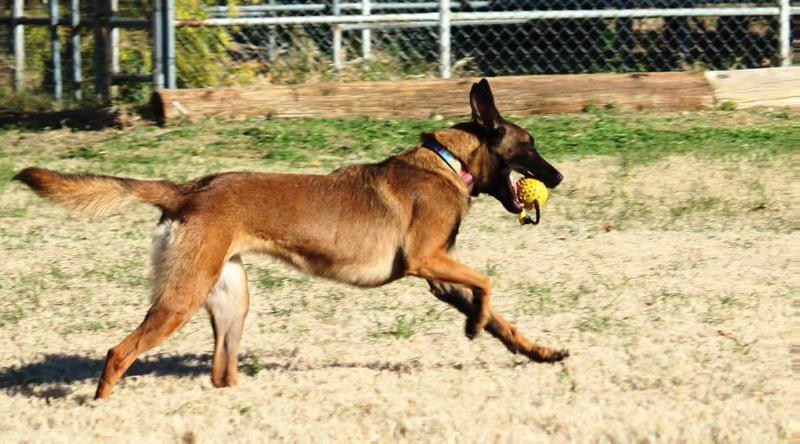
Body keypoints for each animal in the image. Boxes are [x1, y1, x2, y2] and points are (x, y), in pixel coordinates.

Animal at [14, 78, 568, 400]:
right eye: (530, 146)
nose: (559, 177)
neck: (448, 162)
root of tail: (187, 189)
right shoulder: (424, 259)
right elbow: (487, 284)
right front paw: (473, 326)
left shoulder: (439, 275)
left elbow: (499, 316)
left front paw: (537, 350)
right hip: (182, 297)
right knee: (118, 352)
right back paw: (101, 406)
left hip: (230, 298)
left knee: (220, 372)